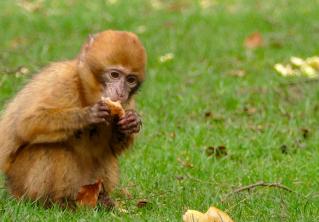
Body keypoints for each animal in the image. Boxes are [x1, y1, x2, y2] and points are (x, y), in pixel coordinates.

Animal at [0, 30, 147, 207]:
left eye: (130, 80)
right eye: (114, 75)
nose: (120, 93)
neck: (85, 91)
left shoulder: (128, 103)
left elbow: (113, 148)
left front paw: (130, 123)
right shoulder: (62, 81)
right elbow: (26, 124)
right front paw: (88, 115)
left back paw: (100, 199)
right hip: (19, 181)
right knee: (51, 148)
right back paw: (54, 203)